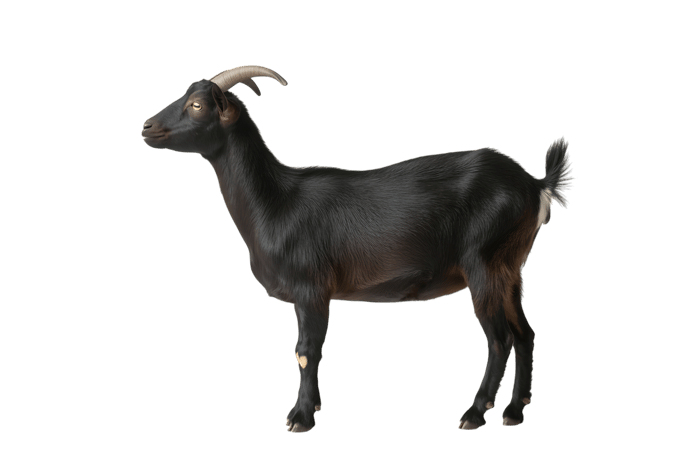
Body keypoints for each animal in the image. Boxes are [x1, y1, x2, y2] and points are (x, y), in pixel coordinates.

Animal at [141, 65, 576, 433]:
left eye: (197, 105)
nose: (146, 127)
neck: (276, 203)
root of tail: (534, 184)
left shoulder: (311, 288)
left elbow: (306, 351)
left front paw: (300, 417)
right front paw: (313, 406)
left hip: (483, 262)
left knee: (499, 339)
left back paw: (475, 412)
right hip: (511, 267)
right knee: (525, 333)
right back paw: (515, 411)